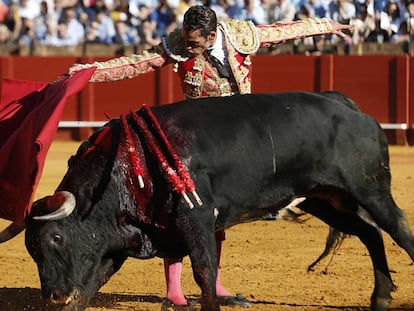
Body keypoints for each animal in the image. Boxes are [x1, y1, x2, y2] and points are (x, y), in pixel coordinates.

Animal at [25, 92, 414, 311]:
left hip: (369, 189)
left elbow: (204, 271)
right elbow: (91, 284)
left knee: (397, 228)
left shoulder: (195, 215)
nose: (52, 295)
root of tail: (348, 106)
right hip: (324, 198)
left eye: (56, 237)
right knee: (370, 234)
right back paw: (380, 298)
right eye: (32, 250)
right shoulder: (119, 238)